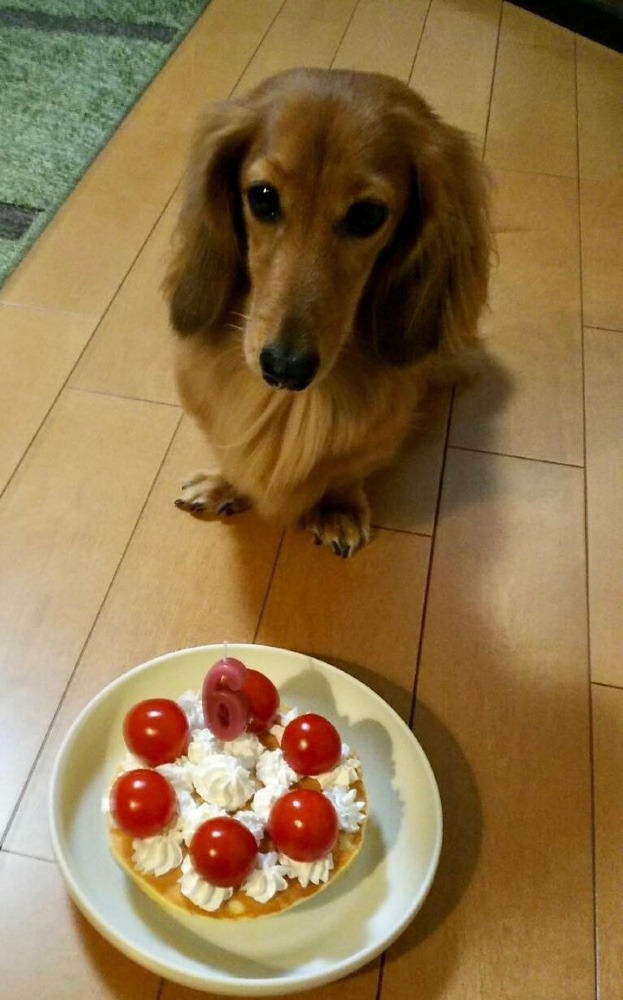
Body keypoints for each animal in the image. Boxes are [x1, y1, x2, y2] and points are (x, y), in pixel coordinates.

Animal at [167, 67, 492, 560]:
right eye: (262, 197)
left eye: (367, 215)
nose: (284, 369)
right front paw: (225, 484)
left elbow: (347, 469)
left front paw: (337, 506)